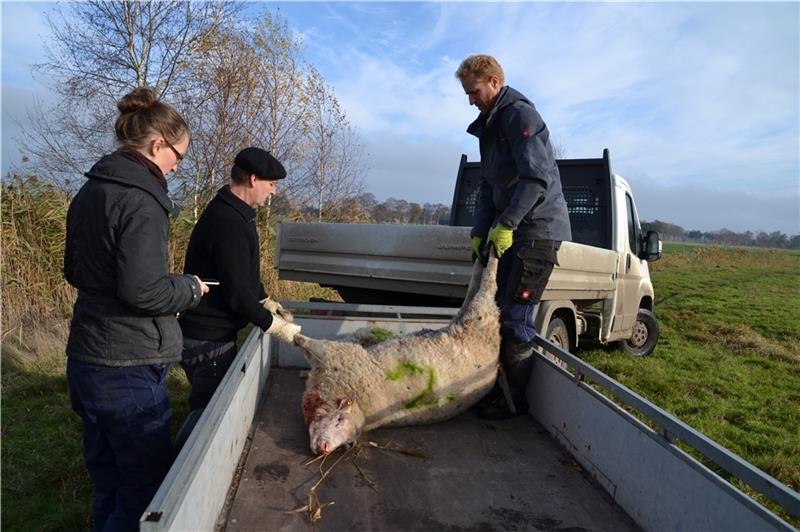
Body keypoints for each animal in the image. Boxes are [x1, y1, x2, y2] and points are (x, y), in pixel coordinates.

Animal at [294, 252, 496, 454]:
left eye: (338, 420)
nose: (321, 449)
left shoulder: (339, 354)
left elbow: (307, 343)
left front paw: (294, 335)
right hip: (467, 318)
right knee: (471, 292)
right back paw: (480, 258)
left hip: (479, 313)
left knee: (488, 285)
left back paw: (495, 251)